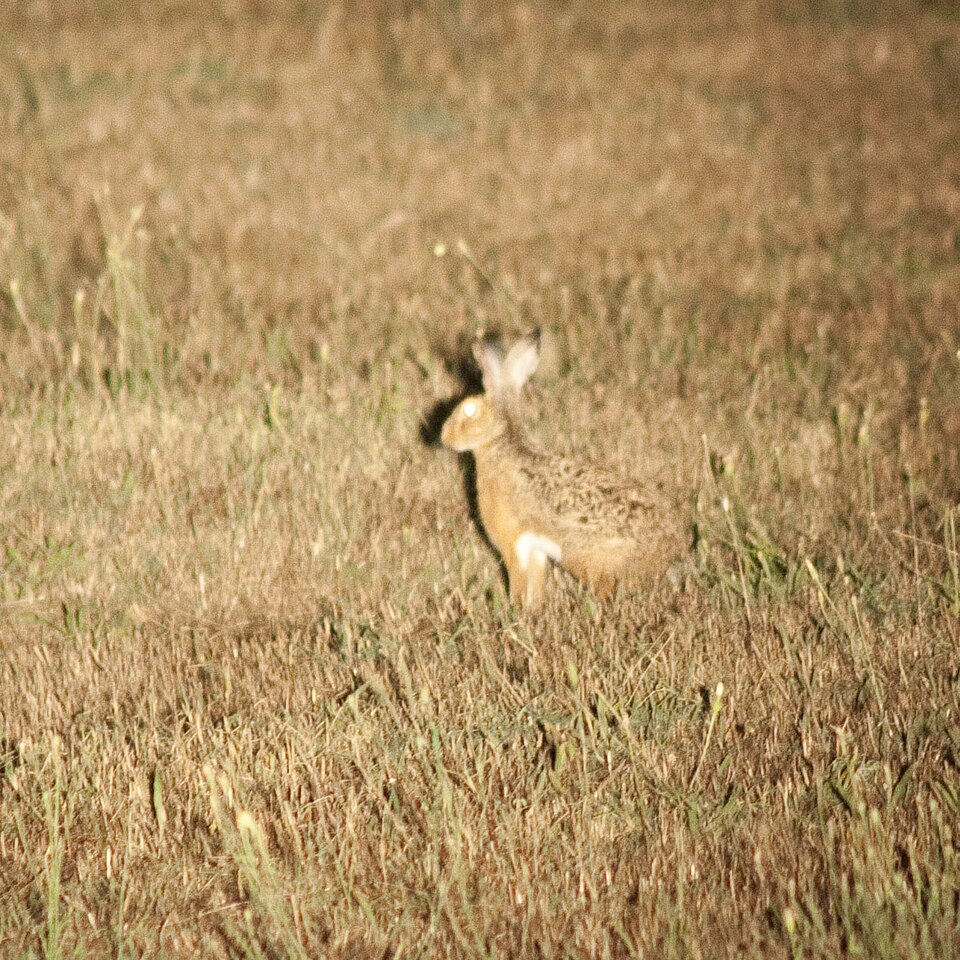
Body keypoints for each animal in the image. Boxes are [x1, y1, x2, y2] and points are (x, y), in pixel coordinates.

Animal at [441, 329, 683, 607]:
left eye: (469, 411)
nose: (444, 437)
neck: (501, 444)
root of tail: (666, 550)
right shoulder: (535, 550)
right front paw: (533, 609)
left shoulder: (514, 543)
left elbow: (518, 580)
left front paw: (516, 609)